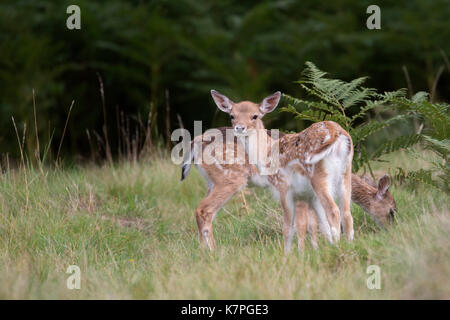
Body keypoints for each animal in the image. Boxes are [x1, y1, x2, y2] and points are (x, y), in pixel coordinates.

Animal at [183, 90, 356, 252]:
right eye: (232, 115)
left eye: (255, 116)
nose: (240, 127)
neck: (266, 152)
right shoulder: (303, 193)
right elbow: (311, 225)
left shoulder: (285, 186)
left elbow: (294, 225)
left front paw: (291, 254)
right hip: (344, 173)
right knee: (346, 213)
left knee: (334, 211)